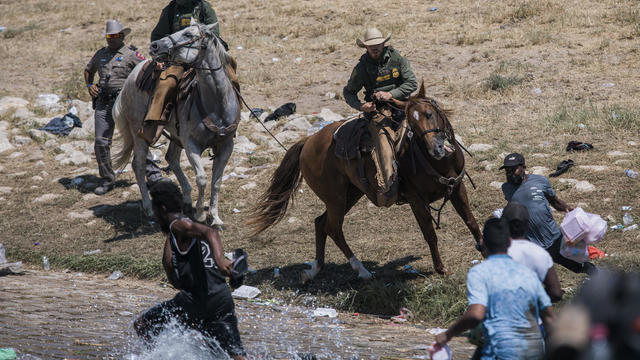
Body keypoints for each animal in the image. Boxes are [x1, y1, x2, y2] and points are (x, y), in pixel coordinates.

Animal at [111, 23, 239, 225]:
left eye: (187, 34)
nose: (155, 45)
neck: (216, 104)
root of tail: (131, 78)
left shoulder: (227, 144)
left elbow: (216, 181)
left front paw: (215, 218)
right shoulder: (191, 144)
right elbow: (202, 178)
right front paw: (200, 214)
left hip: (175, 135)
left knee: (171, 158)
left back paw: (186, 199)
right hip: (140, 133)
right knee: (138, 165)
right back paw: (149, 209)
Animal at [249, 83, 480, 282]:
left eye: (430, 114)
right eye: (412, 124)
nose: (436, 148)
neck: (438, 162)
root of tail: (307, 142)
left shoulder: (457, 188)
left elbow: (471, 221)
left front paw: (483, 250)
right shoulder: (417, 200)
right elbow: (430, 234)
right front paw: (441, 269)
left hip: (350, 194)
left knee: (321, 223)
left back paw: (314, 269)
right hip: (336, 198)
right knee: (333, 228)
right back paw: (361, 270)